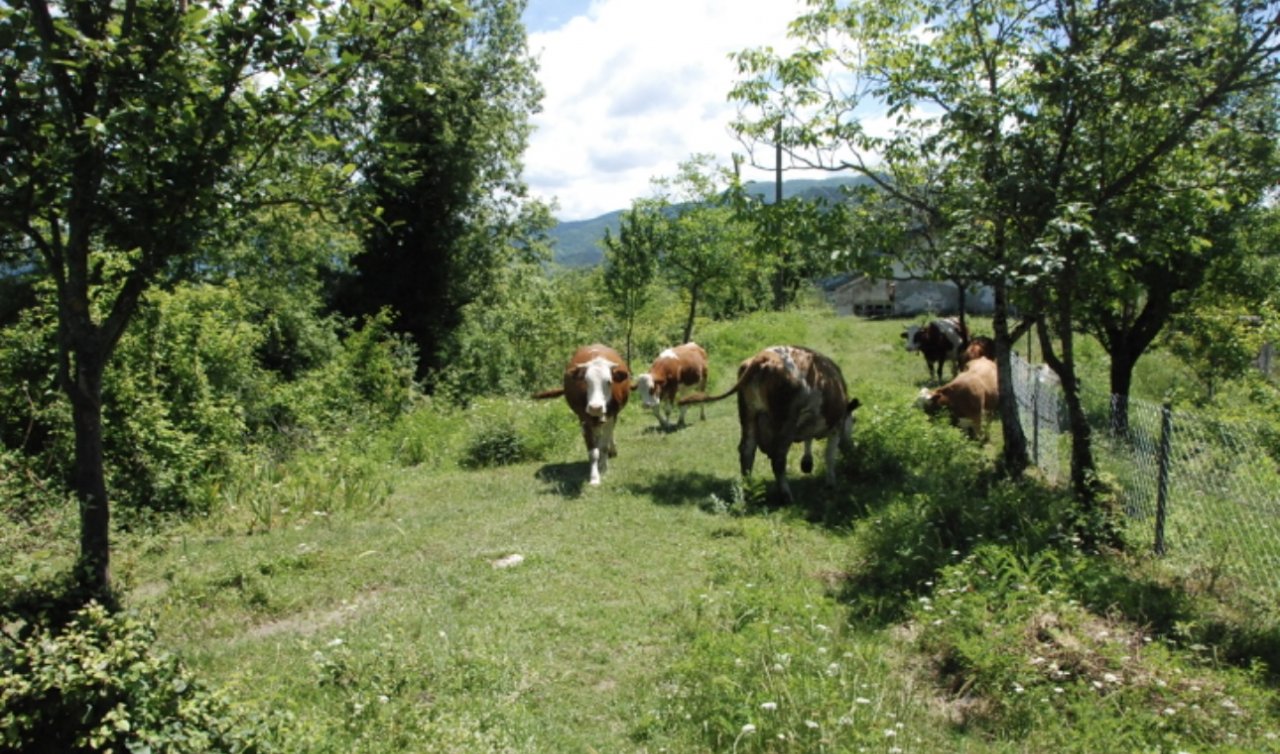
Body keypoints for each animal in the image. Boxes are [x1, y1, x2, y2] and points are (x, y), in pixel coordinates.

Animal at [529, 343, 629, 483]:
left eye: (609, 382)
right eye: (586, 381)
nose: (595, 407)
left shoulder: (611, 416)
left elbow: (604, 445)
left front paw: (603, 467)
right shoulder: (584, 419)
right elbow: (593, 452)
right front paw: (594, 477)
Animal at [680, 348, 860, 506]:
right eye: (854, 421)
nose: (851, 447)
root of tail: (763, 356)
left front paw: (807, 462)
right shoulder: (835, 427)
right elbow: (829, 455)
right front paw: (830, 482)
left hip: (749, 415)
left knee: (747, 451)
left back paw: (748, 490)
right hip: (785, 422)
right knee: (778, 459)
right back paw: (786, 496)